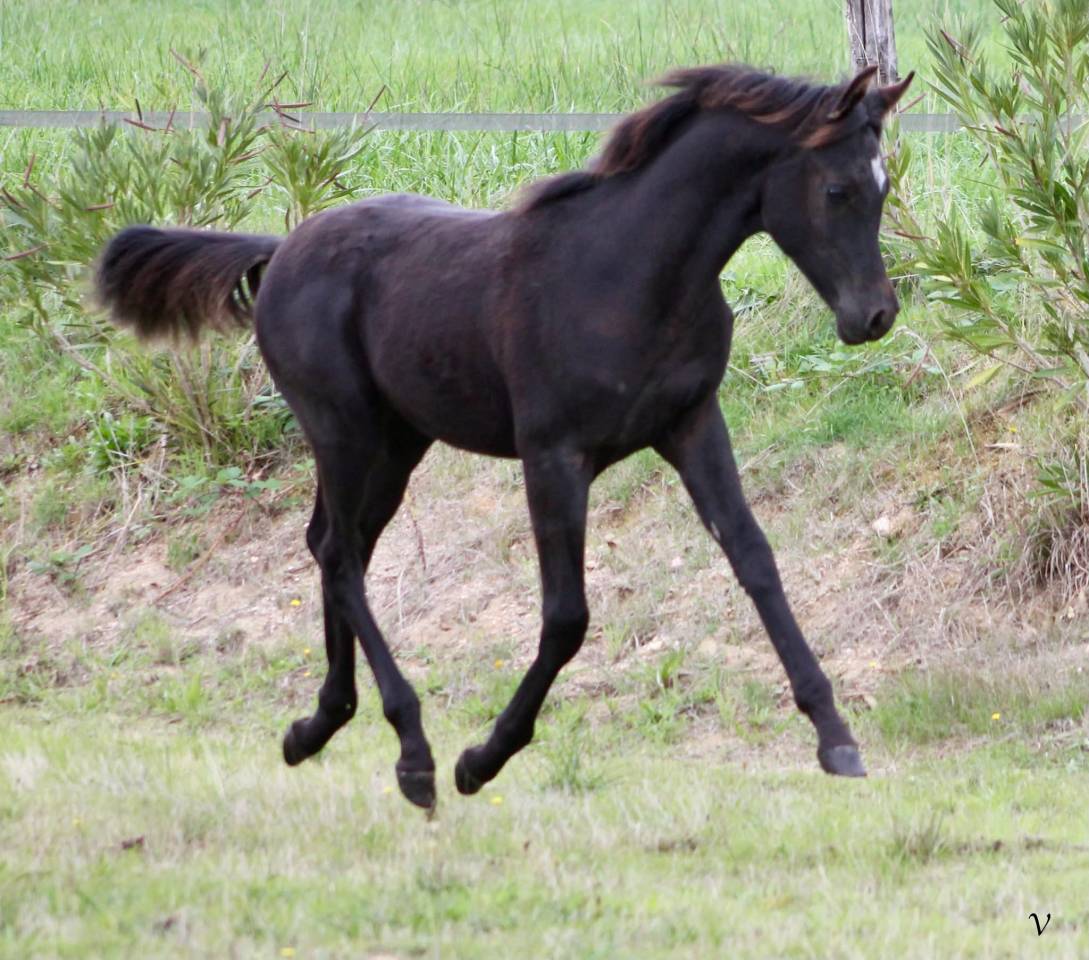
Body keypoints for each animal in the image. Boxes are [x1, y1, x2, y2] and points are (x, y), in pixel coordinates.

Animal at [96, 63, 913, 809]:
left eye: (882, 187)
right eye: (837, 190)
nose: (874, 316)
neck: (629, 274)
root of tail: (282, 251)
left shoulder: (691, 425)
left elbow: (755, 560)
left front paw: (835, 736)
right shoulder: (553, 456)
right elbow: (566, 616)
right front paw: (482, 758)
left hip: (396, 444)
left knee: (333, 545)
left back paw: (319, 725)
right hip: (342, 429)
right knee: (340, 556)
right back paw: (413, 752)